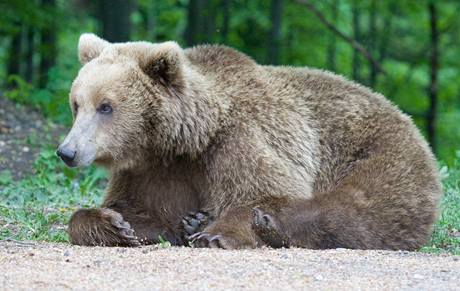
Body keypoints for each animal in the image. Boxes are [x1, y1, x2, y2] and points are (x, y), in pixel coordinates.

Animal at [57, 33, 442, 250]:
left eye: (106, 106)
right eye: (77, 103)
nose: (67, 151)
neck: (189, 140)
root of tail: (405, 116)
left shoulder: (241, 140)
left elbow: (265, 190)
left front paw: (216, 233)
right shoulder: (155, 171)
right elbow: (144, 212)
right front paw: (115, 225)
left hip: (376, 150)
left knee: (356, 207)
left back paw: (259, 227)